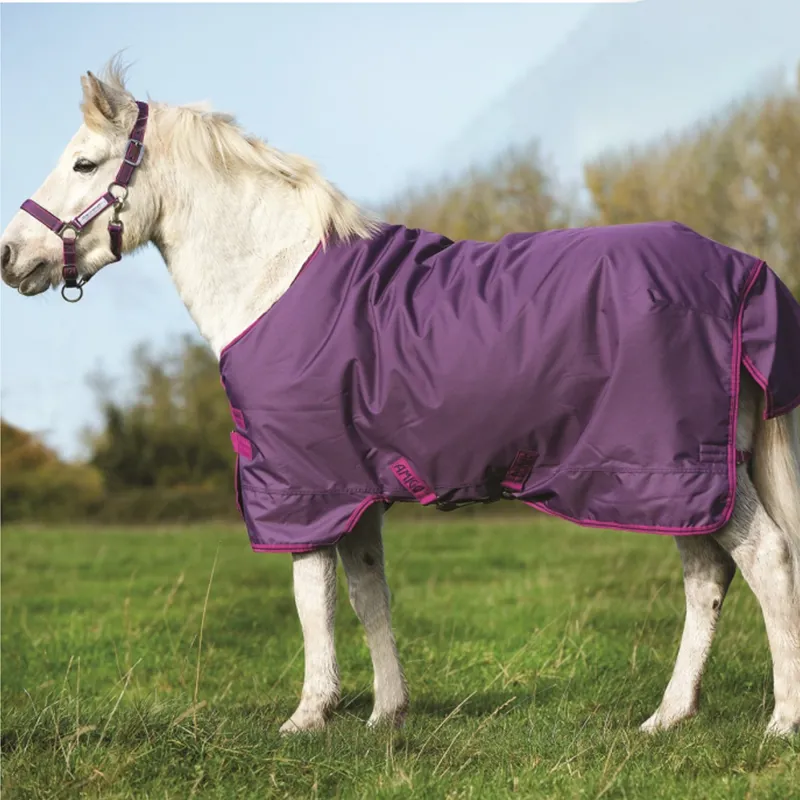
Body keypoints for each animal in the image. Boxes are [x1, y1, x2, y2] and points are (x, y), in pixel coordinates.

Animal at [2, 64, 799, 737]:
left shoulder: (303, 484)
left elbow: (313, 599)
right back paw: (668, 717)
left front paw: (308, 717)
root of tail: (744, 271)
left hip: (680, 471)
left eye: (83, 164)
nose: (12, 257)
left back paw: (780, 721)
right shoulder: (354, 490)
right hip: (685, 486)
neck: (277, 282)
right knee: (708, 579)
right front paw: (387, 714)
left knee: (765, 559)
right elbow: (367, 596)